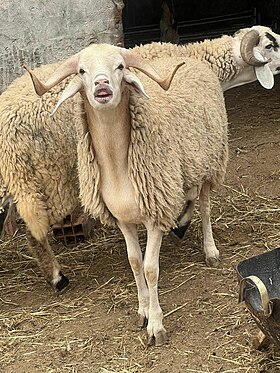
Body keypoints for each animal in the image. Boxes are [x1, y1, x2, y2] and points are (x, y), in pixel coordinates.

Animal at [25, 44, 228, 346]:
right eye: (81, 71)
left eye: (120, 67)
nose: (101, 85)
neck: (118, 165)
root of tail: (187, 58)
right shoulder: (123, 219)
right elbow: (134, 263)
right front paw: (142, 312)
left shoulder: (154, 216)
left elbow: (150, 269)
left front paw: (156, 325)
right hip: (185, 167)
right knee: (188, 195)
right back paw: (180, 224)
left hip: (210, 161)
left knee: (204, 206)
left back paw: (210, 249)